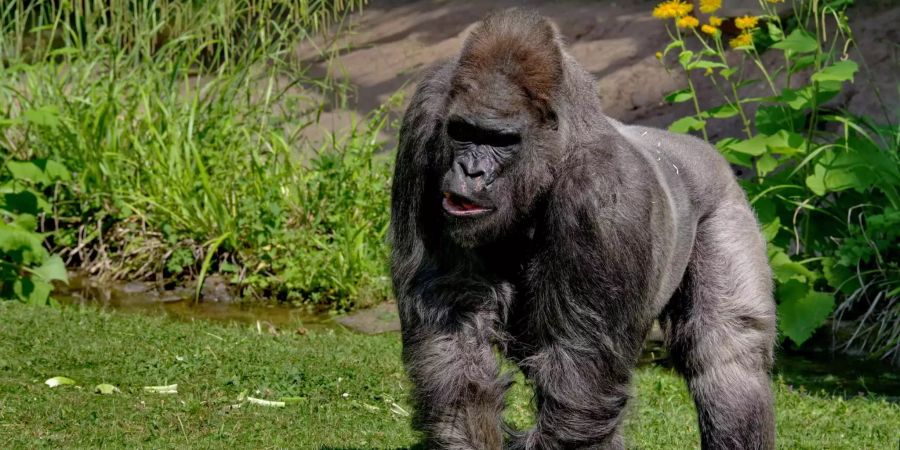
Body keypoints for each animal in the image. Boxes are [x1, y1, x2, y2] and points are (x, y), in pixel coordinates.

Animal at [390, 9, 776, 450]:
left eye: (501, 141)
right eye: (462, 132)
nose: (470, 171)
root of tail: (700, 148)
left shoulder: (604, 195)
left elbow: (581, 376)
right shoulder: (425, 119)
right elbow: (451, 316)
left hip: (726, 204)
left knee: (728, 355)